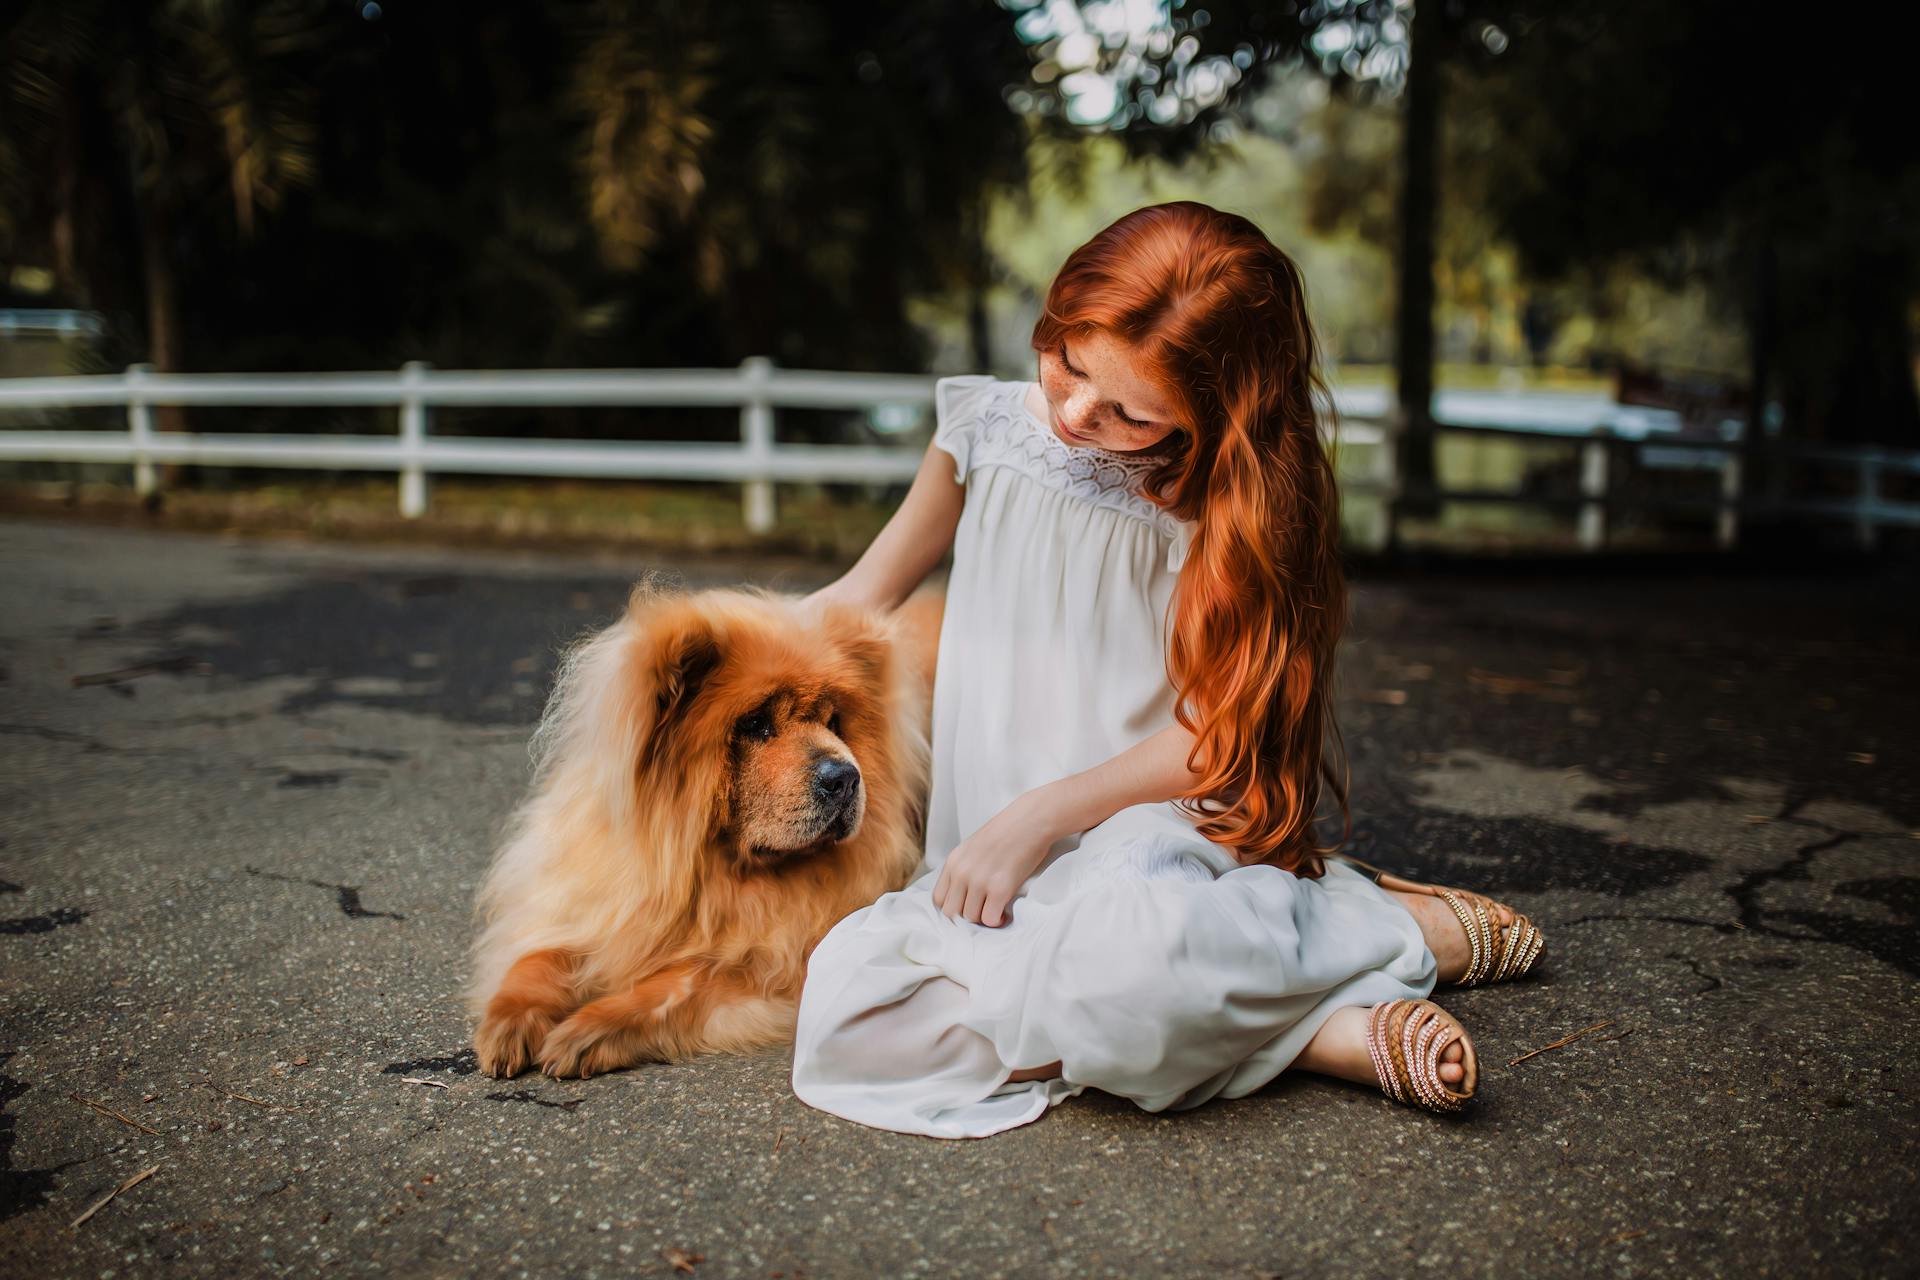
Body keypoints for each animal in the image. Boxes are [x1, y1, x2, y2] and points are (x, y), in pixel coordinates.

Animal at [472, 583, 936, 1082]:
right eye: (755, 724)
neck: (714, 873)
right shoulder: (594, 903)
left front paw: (588, 1030)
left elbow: (680, 983)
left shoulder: (776, 966)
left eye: (833, 723)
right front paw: (509, 1022)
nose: (846, 777)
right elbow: (538, 957)